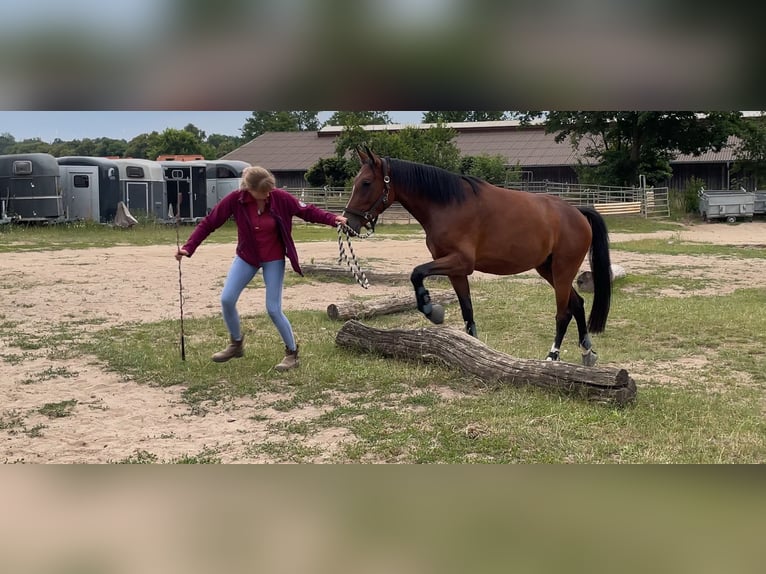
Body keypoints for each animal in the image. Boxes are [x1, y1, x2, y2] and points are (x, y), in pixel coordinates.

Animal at [344, 146, 616, 366]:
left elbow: (417, 273)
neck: (449, 204)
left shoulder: (460, 262)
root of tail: (577, 212)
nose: (348, 223)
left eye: (366, 183)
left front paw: (432, 310)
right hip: (548, 270)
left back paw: (552, 356)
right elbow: (467, 311)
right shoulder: (456, 271)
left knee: (564, 312)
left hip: (562, 271)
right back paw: (587, 352)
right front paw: (472, 349)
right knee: (578, 303)